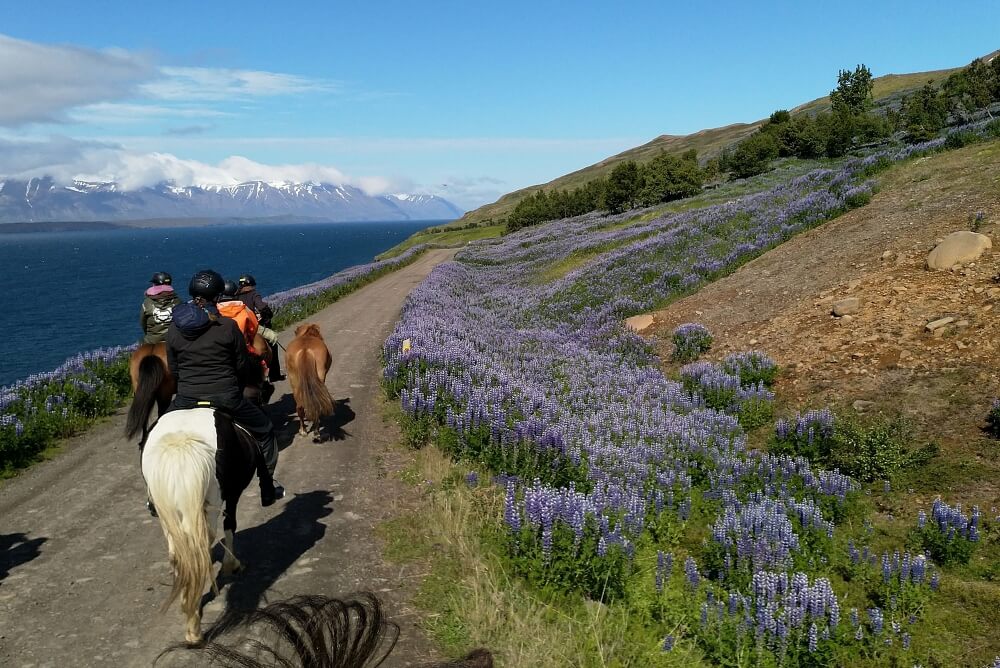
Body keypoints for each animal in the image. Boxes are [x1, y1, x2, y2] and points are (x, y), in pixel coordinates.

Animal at [145, 404, 262, 644]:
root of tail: (181, 443)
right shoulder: (232, 495)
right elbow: (231, 525)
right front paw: (231, 565)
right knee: (200, 551)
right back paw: (194, 627)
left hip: (167, 514)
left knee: (179, 556)